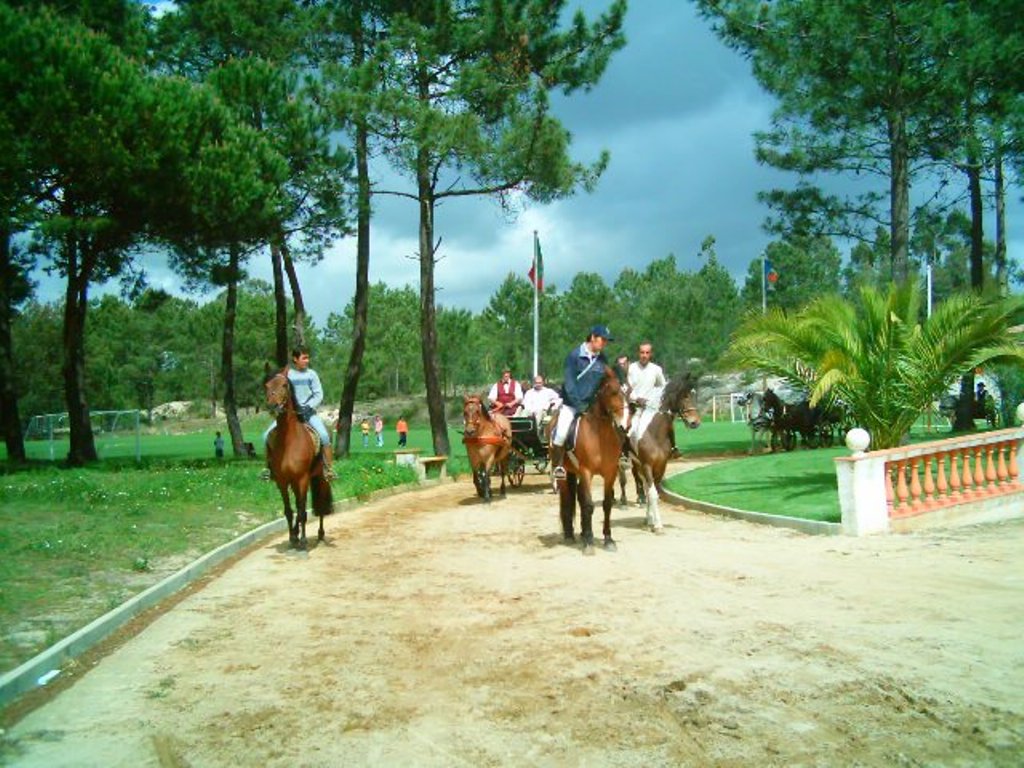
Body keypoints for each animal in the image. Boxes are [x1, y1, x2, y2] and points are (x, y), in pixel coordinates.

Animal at [264, 366, 331, 548]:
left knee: (320, 504)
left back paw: (320, 534)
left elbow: (302, 512)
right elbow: (289, 511)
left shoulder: (302, 479)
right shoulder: (282, 481)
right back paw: (295, 532)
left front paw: (303, 541)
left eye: (284, 385)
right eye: (266, 385)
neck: (289, 442)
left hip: (320, 479)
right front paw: (292, 538)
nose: (273, 406)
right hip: (294, 482)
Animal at [626, 372, 700, 536]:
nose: (695, 422)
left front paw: (652, 522)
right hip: (635, 464)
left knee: (645, 488)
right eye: (685, 395)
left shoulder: (661, 465)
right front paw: (658, 526)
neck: (654, 433)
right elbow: (653, 493)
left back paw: (648, 520)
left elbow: (654, 493)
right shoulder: (647, 465)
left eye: (694, 394)